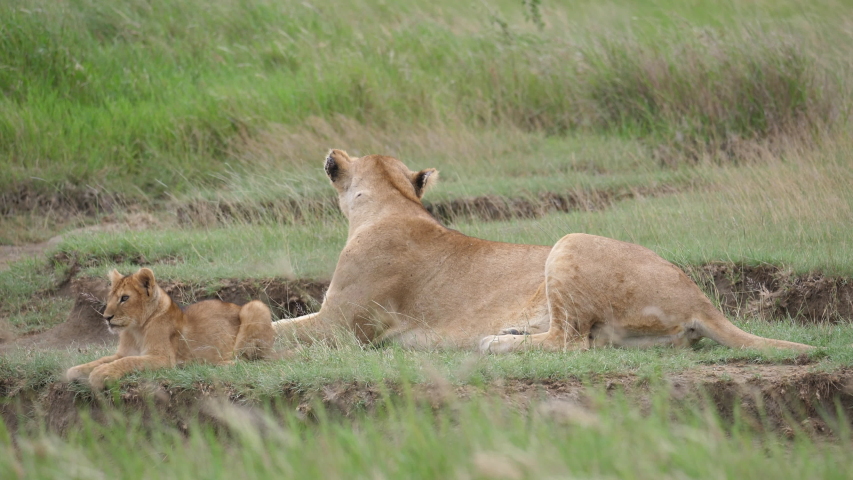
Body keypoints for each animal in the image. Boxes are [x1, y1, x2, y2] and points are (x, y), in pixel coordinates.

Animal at [66, 268, 275, 389]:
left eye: (124, 298)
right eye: (110, 297)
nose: (106, 317)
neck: (135, 330)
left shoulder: (163, 359)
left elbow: (129, 361)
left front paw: (101, 374)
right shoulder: (122, 353)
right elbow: (101, 360)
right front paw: (75, 371)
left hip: (254, 306)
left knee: (249, 359)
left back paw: (218, 364)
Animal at [272, 149, 813, 354]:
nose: (333, 153)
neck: (392, 205)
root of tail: (701, 299)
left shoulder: (340, 327)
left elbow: (279, 330)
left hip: (568, 242)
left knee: (570, 342)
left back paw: (499, 341)